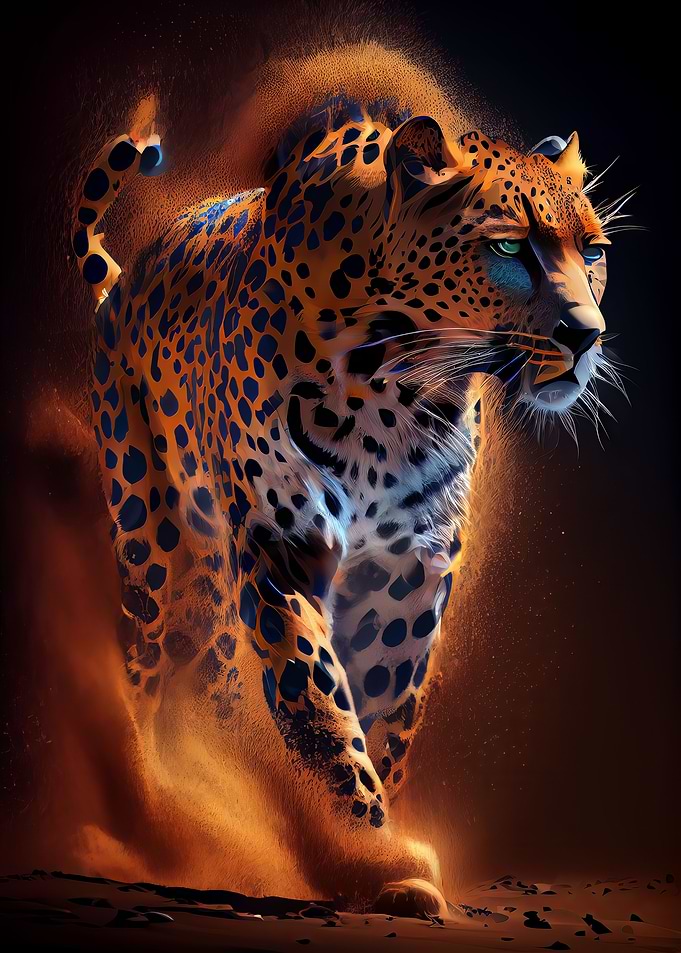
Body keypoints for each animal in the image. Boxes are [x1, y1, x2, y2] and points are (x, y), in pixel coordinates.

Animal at [73, 100, 612, 908]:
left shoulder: (408, 565)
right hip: (150, 534)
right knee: (143, 656)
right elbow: (320, 702)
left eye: (594, 252)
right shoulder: (282, 550)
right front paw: (370, 855)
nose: (587, 336)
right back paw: (147, 807)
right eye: (510, 246)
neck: (398, 393)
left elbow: (382, 706)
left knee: (212, 668)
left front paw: (373, 845)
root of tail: (127, 276)